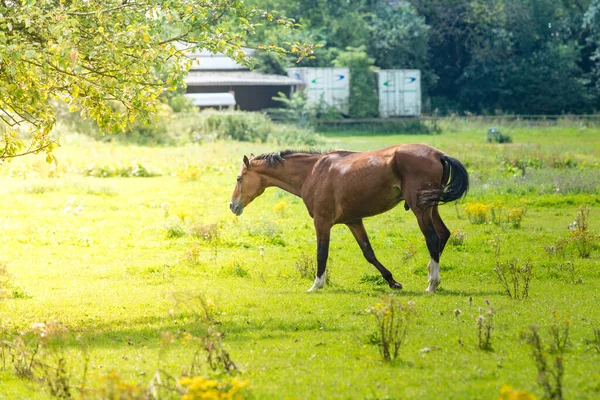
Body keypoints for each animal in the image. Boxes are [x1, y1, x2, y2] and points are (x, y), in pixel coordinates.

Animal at [230, 144, 468, 290]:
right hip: (431, 208)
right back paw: (431, 274)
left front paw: (316, 285)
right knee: (443, 234)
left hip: (421, 210)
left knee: (432, 238)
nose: (232, 205)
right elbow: (368, 253)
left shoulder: (322, 222)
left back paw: (432, 283)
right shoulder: (353, 221)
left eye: (239, 178)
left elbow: (321, 253)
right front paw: (392, 282)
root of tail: (439, 155)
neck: (312, 172)